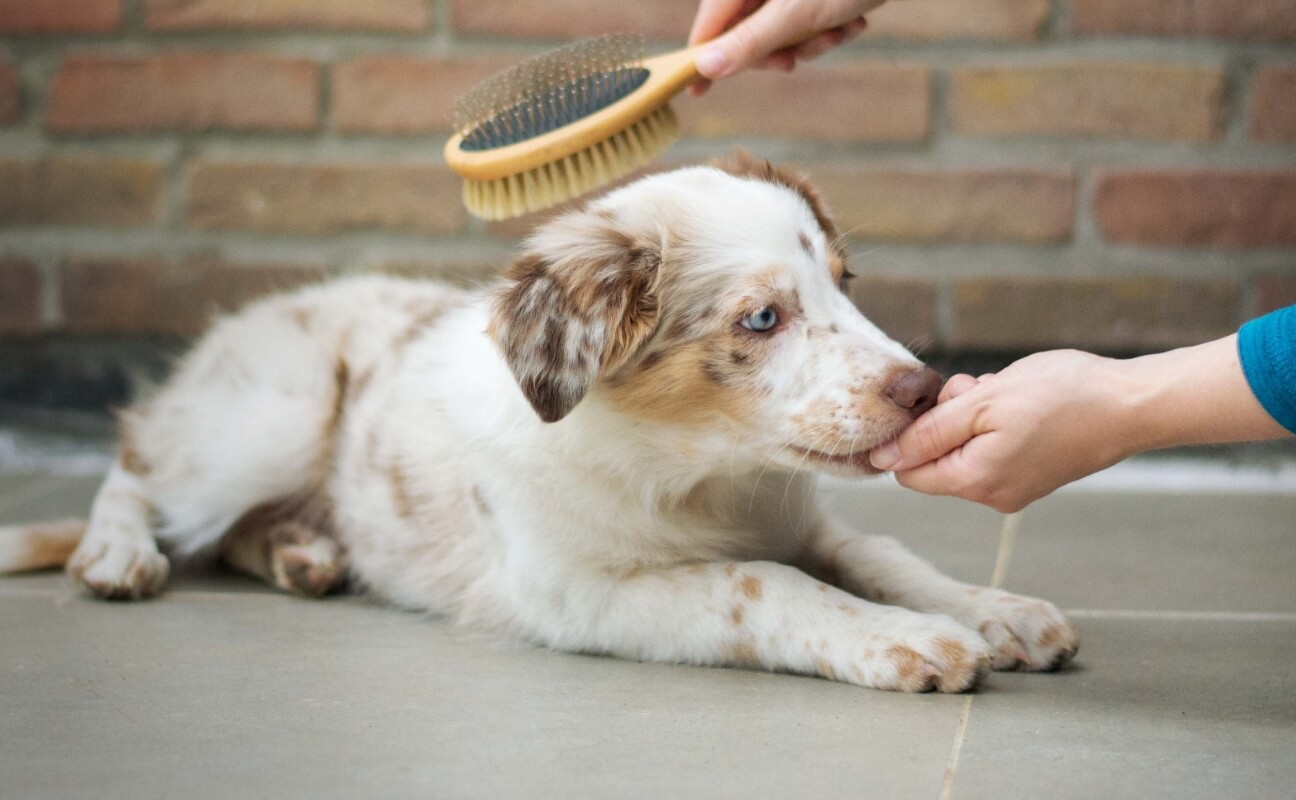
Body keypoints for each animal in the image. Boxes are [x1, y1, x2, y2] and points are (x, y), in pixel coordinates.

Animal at [0, 157, 1073, 694]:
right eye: (762, 320)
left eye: (844, 284)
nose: (925, 389)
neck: (696, 478)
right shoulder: (573, 591)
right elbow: (759, 586)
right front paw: (910, 642)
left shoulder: (801, 520)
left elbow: (880, 553)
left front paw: (997, 611)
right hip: (268, 419)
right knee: (136, 465)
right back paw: (116, 555)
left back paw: (306, 554)